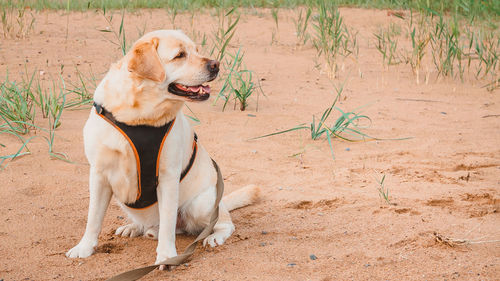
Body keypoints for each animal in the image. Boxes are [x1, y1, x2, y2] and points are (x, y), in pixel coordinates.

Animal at [66, 29, 260, 266]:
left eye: (197, 50)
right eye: (180, 55)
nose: (216, 64)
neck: (139, 116)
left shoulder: (168, 177)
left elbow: (167, 223)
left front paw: (167, 256)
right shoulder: (99, 174)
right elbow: (93, 217)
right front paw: (84, 247)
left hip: (201, 204)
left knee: (222, 223)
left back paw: (214, 236)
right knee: (153, 226)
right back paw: (135, 228)